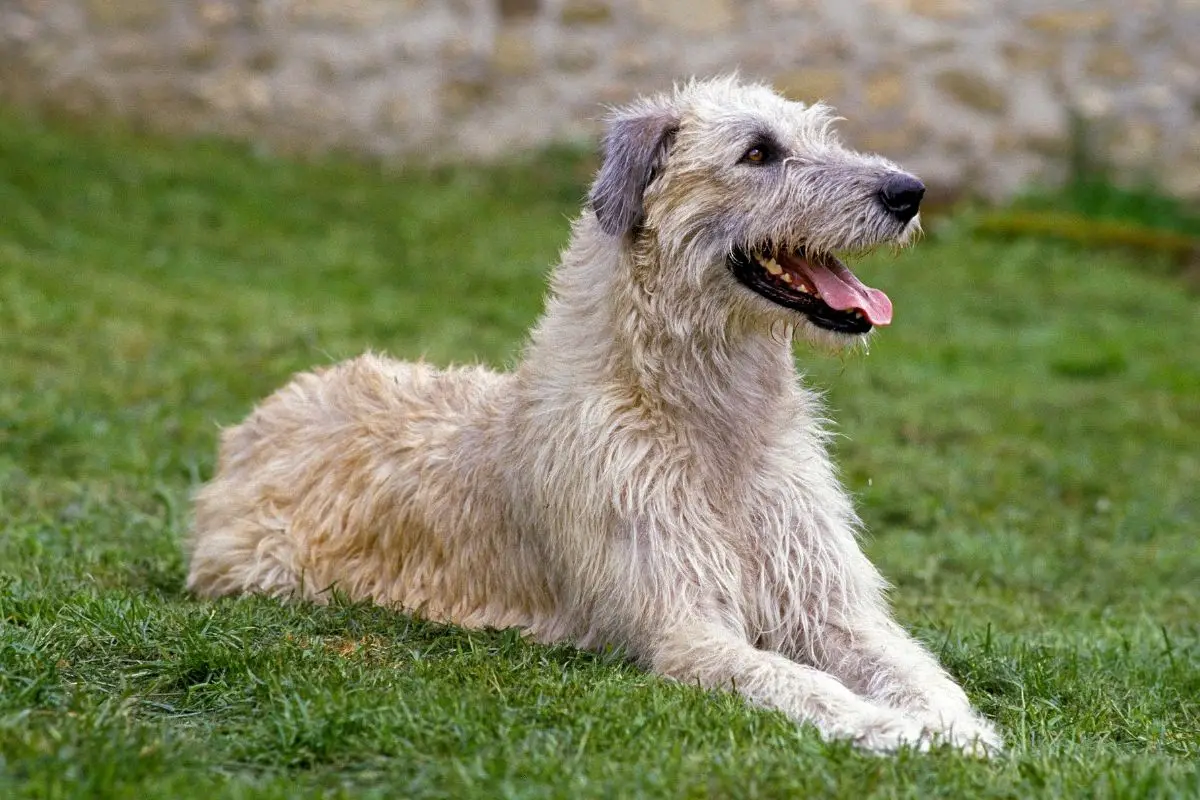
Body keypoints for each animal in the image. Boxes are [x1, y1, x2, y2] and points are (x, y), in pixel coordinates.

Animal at [187, 74, 1003, 758]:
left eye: (823, 135)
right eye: (758, 151)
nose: (910, 192)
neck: (710, 425)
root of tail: (262, 417)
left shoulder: (831, 607)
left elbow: (914, 665)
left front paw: (955, 724)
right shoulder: (684, 628)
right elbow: (795, 680)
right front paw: (892, 728)